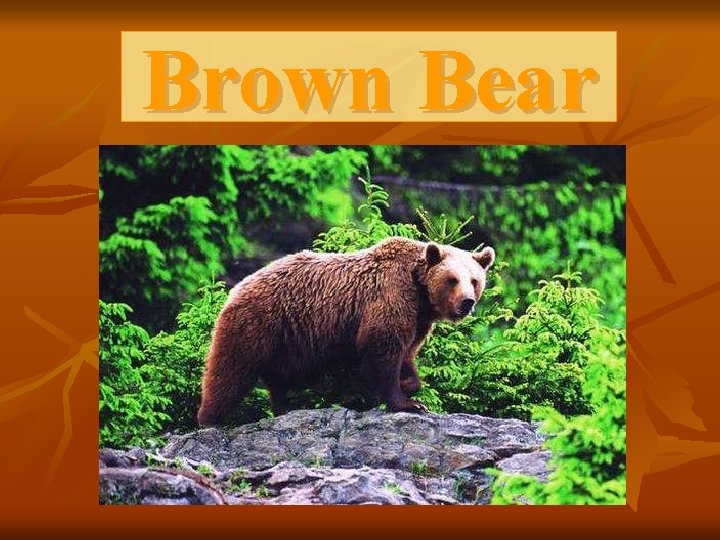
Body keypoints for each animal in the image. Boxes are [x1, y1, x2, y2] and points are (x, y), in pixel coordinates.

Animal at [197, 236, 495, 426]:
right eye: (451, 279)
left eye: (474, 280)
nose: (466, 302)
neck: (419, 291)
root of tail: (237, 287)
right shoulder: (388, 299)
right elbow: (383, 350)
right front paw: (406, 402)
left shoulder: (418, 319)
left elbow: (407, 353)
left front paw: (409, 385)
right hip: (258, 321)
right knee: (231, 368)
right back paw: (209, 419)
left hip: (292, 340)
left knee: (283, 377)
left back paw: (288, 405)